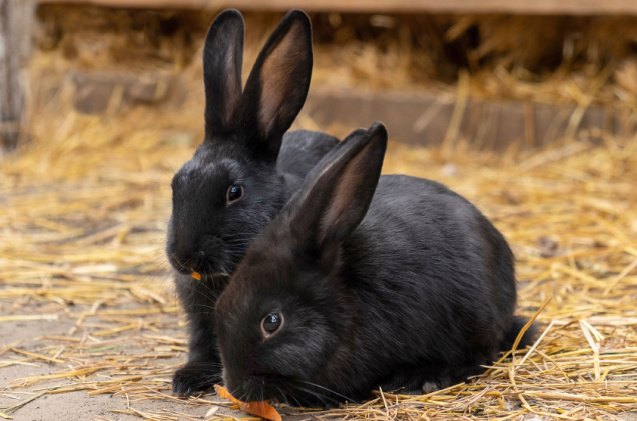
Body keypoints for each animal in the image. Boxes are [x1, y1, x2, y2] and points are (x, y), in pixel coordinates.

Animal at [168, 10, 338, 398]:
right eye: (175, 184)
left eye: (235, 192)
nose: (184, 256)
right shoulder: (197, 317)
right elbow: (202, 343)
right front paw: (187, 379)